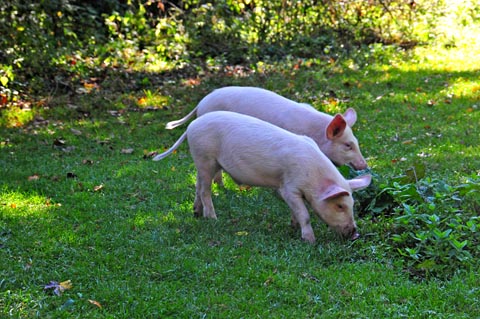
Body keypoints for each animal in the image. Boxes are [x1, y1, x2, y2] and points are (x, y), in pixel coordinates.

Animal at [154, 111, 372, 244]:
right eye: (340, 206)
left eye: (352, 205)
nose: (355, 233)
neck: (313, 174)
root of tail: (191, 126)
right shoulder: (290, 187)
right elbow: (305, 214)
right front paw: (309, 240)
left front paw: (293, 226)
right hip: (205, 158)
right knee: (205, 190)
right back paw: (213, 219)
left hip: (201, 163)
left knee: (198, 187)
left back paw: (196, 213)